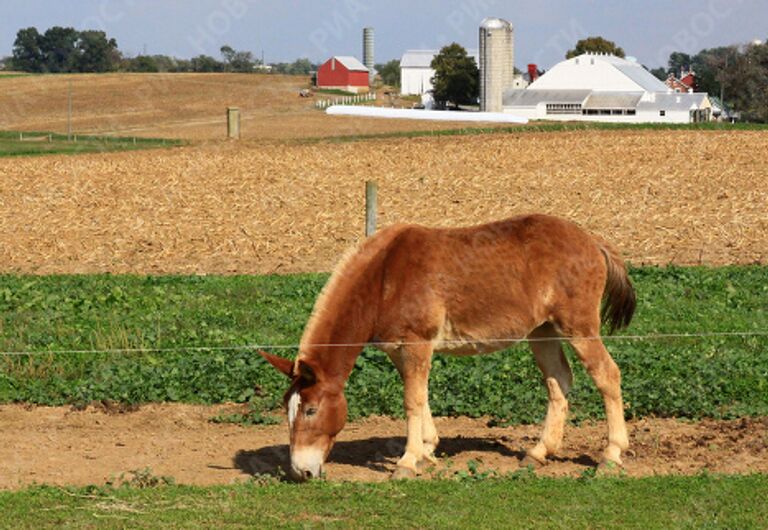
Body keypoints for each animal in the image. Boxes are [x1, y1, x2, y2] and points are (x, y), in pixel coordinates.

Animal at [260, 213, 632, 478]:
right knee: (559, 383)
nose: (300, 471)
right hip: (542, 333)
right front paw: (427, 451)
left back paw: (611, 456)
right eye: (286, 408)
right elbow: (419, 397)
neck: (384, 277)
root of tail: (592, 241)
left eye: (310, 410)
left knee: (607, 375)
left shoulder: (417, 344)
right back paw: (538, 453)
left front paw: (407, 462)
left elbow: (411, 401)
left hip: (578, 329)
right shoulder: (399, 350)